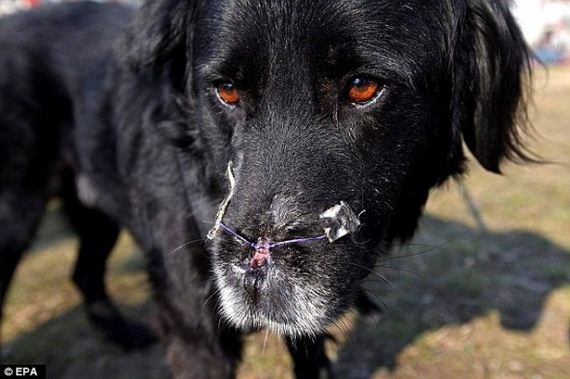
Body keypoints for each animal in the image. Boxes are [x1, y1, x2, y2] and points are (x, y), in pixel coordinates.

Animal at [2, 0, 532, 378]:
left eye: (363, 86)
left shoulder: (306, 328)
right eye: (226, 90)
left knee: (84, 272)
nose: (257, 273)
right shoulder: (197, 334)